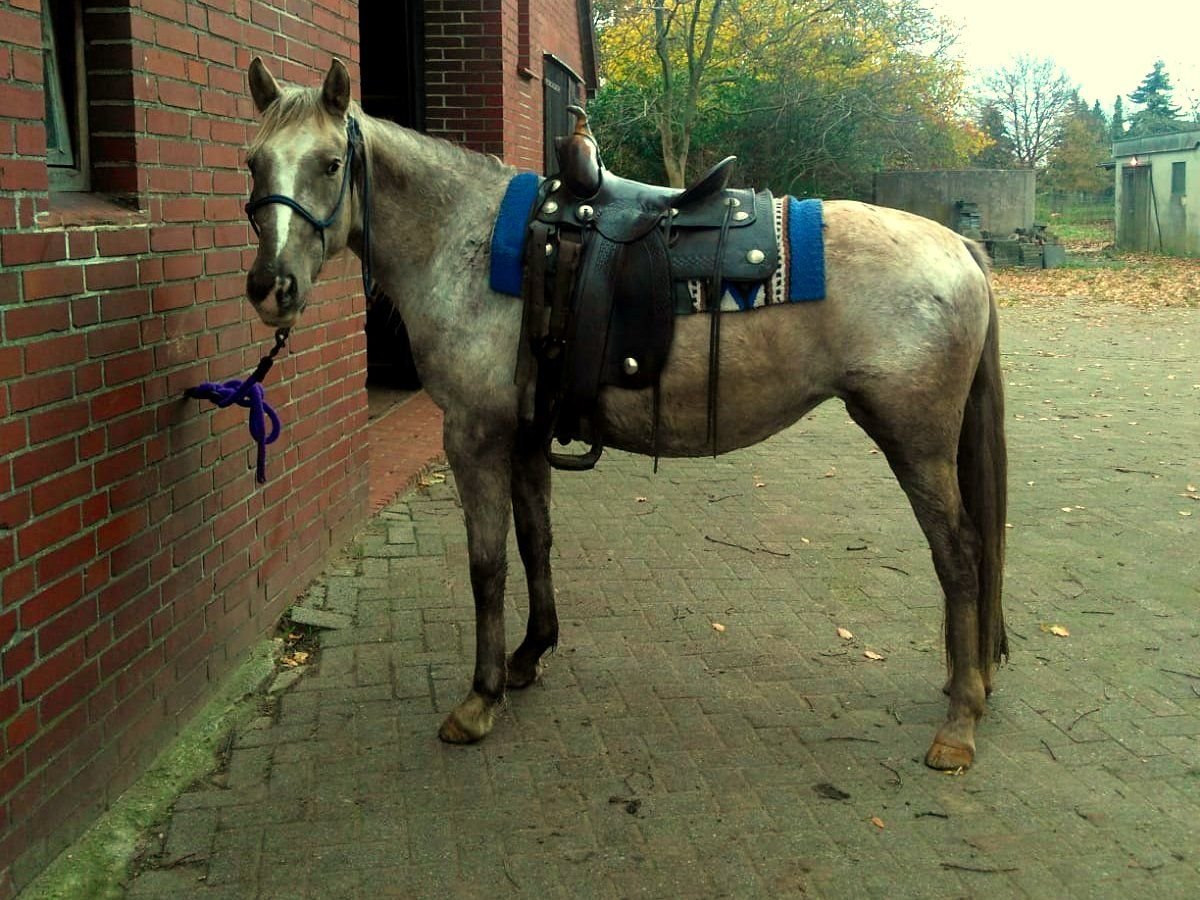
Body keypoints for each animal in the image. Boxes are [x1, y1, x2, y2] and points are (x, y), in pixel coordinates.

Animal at [241, 60, 1003, 772]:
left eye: (330, 163)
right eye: (252, 162)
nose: (271, 287)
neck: (469, 242)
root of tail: (960, 248)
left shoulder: (473, 437)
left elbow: (487, 563)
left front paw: (480, 697)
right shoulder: (526, 434)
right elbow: (535, 542)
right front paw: (529, 655)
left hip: (915, 441)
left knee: (960, 555)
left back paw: (961, 721)